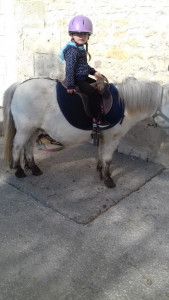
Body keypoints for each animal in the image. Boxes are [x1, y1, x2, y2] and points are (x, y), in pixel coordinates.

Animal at [2, 77, 169, 188]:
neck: (124, 105)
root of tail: (20, 85)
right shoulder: (112, 138)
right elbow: (108, 158)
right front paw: (108, 179)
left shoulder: (104, 136)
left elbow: (101, 154)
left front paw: (100, 172)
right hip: (25, 129)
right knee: (17, 146)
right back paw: (18, 170)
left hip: (35, 129)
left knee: (28, 146)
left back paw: (34, 168)